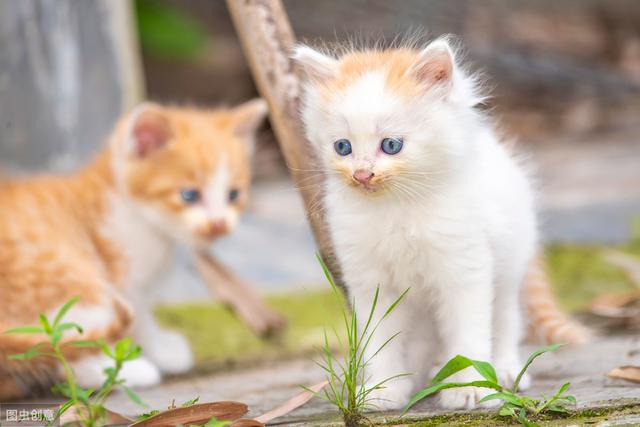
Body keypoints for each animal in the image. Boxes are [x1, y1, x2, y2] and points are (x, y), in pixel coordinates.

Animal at [0, 98, 268, 400]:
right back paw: (120, 372)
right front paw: (159, 350)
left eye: (233, 195)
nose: (219, 224)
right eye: (189, 195)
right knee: (60, 340)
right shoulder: (121, 274)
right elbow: (138, 317)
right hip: (64, 269)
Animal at [292, 37, 536, 412]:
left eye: (391, 145)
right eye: (342, 147)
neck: (396, 207)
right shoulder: (370, 280)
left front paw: (469, 388)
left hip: (510, 263)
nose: (362, 175)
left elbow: (469, 332)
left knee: (506, 317)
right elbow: (380, 339)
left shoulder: (464, 269)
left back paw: (506, 370)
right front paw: (384, 390)